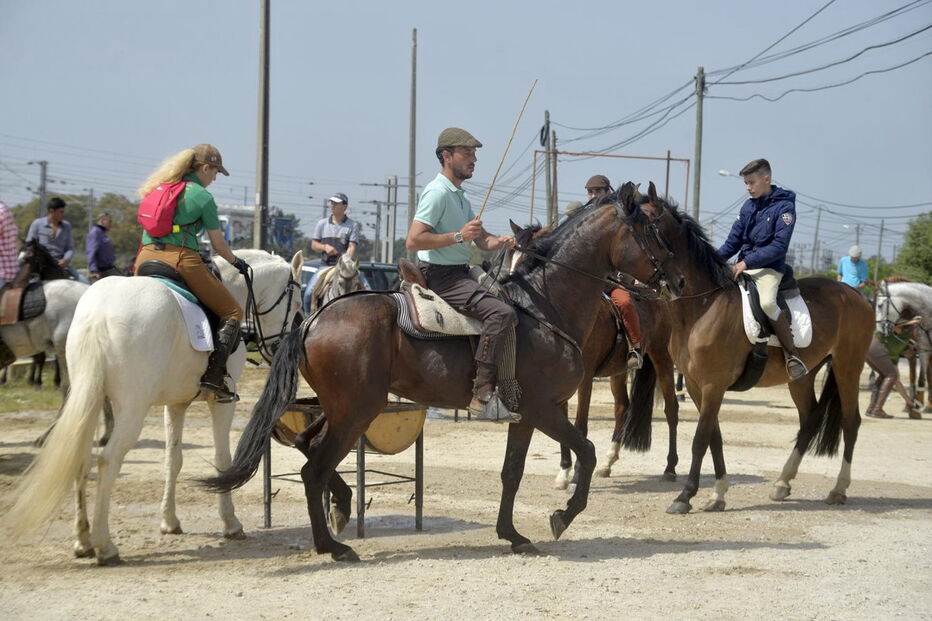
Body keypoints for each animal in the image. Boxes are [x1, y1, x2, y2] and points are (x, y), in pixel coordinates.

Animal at [3, 249, 304, 565]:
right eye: (296, 302)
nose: (281, 347)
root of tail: (97, 315)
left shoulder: (176, 403)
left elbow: (173, 460)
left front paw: (169, 522)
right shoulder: (221, 404)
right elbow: (222, 460)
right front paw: (231, 523)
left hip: (90, 400)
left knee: (81, 458)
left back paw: (83, 540)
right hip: (132, 409)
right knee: (107, 461)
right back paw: (104, 545)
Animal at [498, 221, 679, 490]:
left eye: (531, 258)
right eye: (511, 257)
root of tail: (656, 297)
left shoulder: (585, 378)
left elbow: (580, 425)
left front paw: (575, 477)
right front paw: (563, 472)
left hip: (661, 357)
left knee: (671, 409)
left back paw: (670, 468)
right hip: (618, 371)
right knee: (622, 407)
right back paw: (608, 462)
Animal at [636, 182, 875, 514]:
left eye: (646, 227)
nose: (671, 285)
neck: (702, 306)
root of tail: (855, 296)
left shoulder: (712, 385)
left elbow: (700, 439)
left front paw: (685, 497)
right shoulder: (697, 386)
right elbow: (714, 437)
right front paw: (718, 494)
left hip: (847, 366)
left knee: (851, 423)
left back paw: (838, 490)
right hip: (803, 377)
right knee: (809, 419)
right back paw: (782, 483)